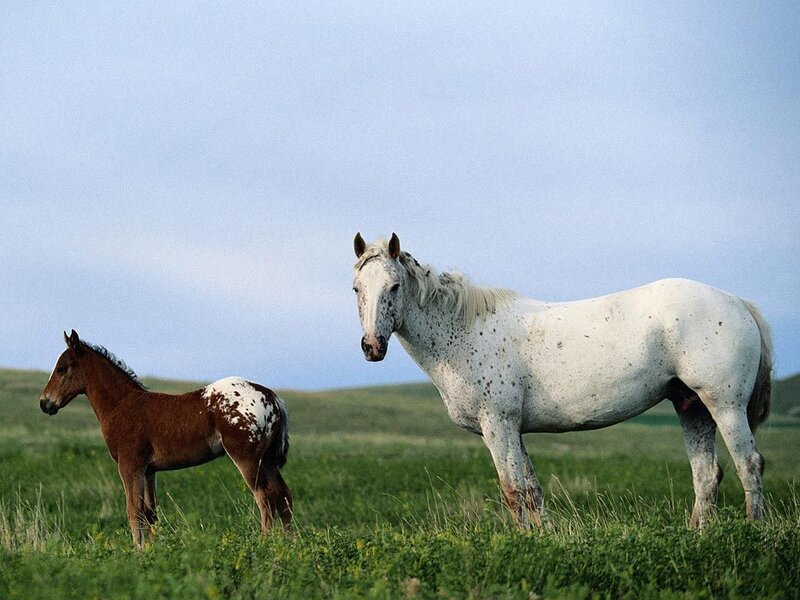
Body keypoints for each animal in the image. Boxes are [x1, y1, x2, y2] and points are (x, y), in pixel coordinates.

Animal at [39, 330, 292, 547]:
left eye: (61, 368)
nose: (44, 403)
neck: (121, 405)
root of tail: (272, 397)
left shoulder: (130, 466)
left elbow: (133, 510)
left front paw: (138, 551)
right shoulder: (149, 471)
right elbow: (150, 513)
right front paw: (151, 550)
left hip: (247, 459)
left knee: (264, 498)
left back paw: (265, 543)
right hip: (267, 460)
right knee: (283, 496)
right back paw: (290, 543)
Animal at [352, 233, 773, 529]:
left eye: (394, 287)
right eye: (357, 288)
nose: (372, 346)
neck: (465, 332)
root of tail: (738, 302)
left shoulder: (498, 426)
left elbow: (512, 490)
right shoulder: (514, 430)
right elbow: (531, 490)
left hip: (725, 406)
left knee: (749, 464)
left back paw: (753, 531)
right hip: (692, 408)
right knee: (706, 475)